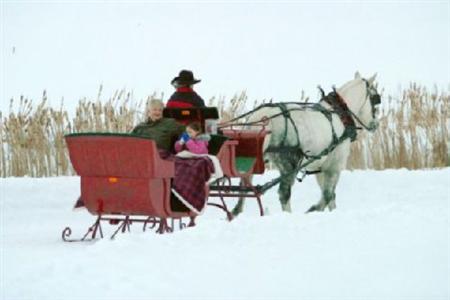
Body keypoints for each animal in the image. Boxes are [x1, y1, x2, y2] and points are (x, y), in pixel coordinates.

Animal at [232, 72, 380, 213]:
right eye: (376, 99)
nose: (376, 125)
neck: (339, 115)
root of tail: (262, 116)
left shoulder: (320, 167)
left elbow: (330, 197)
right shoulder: (334, 166)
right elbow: (327, 195)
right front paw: (313, 209)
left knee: (245, 184)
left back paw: (236, 211)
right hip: (289, 163)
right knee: (284, 193)